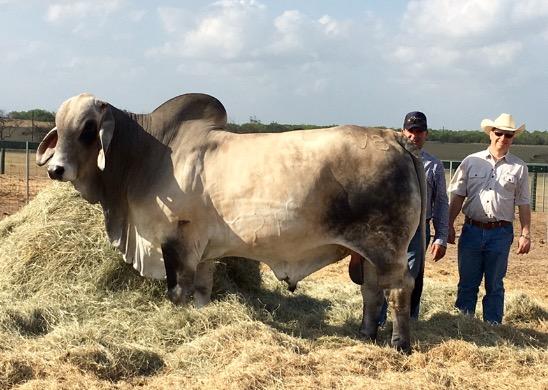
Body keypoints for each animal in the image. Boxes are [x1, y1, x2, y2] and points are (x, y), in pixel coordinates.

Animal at [36, 93, 426, 352]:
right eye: (59, 128)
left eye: (88, 130)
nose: (56, 169)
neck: (148, 154)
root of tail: (394, 138)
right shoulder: (203, 251)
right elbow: (202, 291)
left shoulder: (176, 241)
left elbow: (177, 292)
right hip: (371, 251)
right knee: (372, 290)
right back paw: (366, 335)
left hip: (387, 247)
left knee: (398, 289)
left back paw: (399, 344)